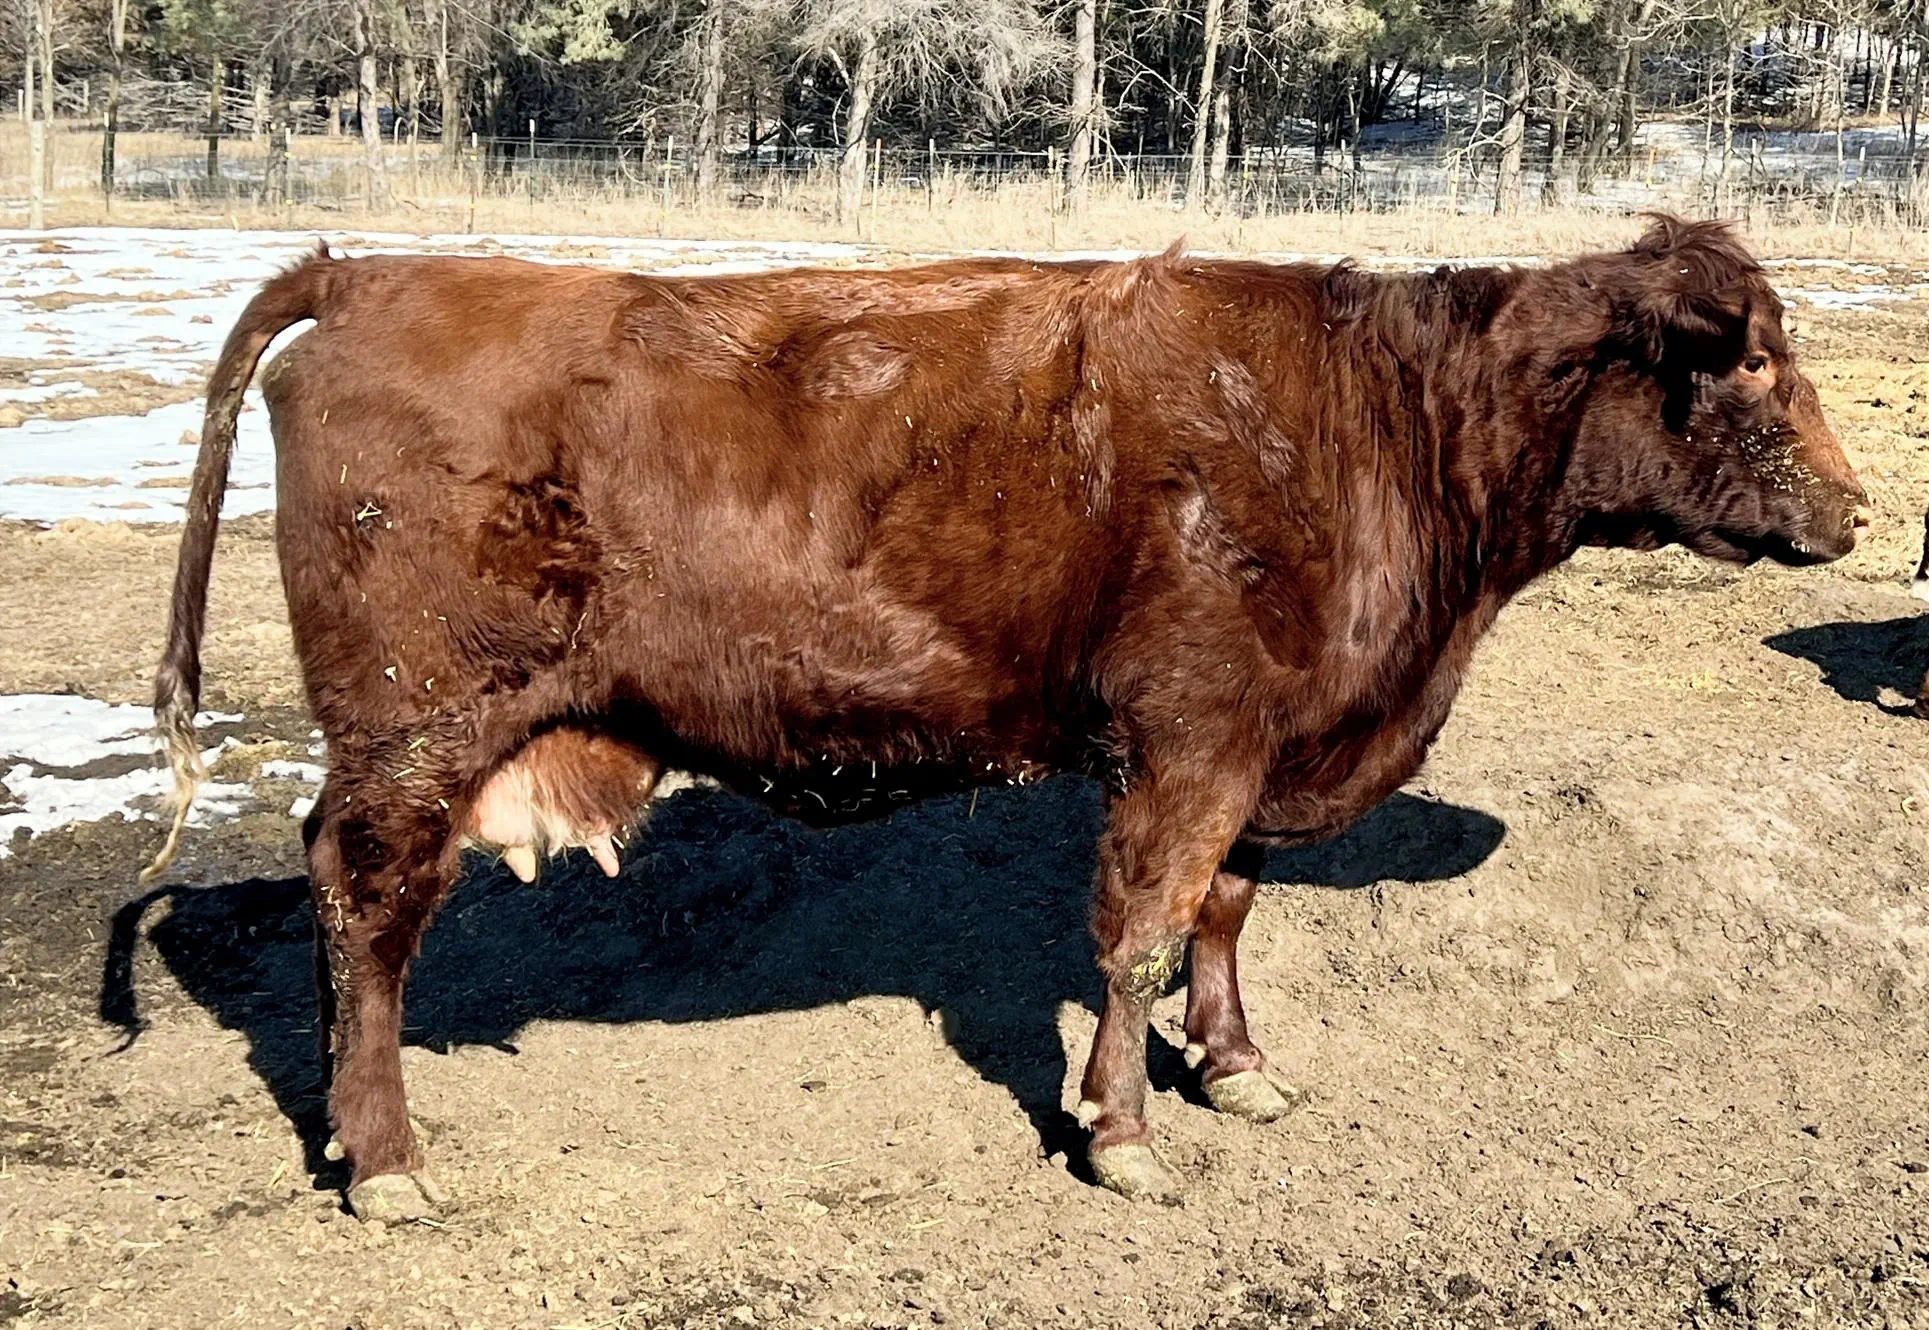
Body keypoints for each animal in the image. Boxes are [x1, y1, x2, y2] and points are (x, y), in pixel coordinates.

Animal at [141, 215, 1866, 1221]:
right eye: (1749, 364)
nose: (1854, 509)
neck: (1378, 422)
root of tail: (368, 272)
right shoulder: (1188, 739)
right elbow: (1142, 927)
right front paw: (1122, 1129)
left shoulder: (1257, 745)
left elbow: (1224, 912)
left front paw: (1233, 1066)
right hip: (413, 734)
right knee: (368, 901)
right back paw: (385, 1158)